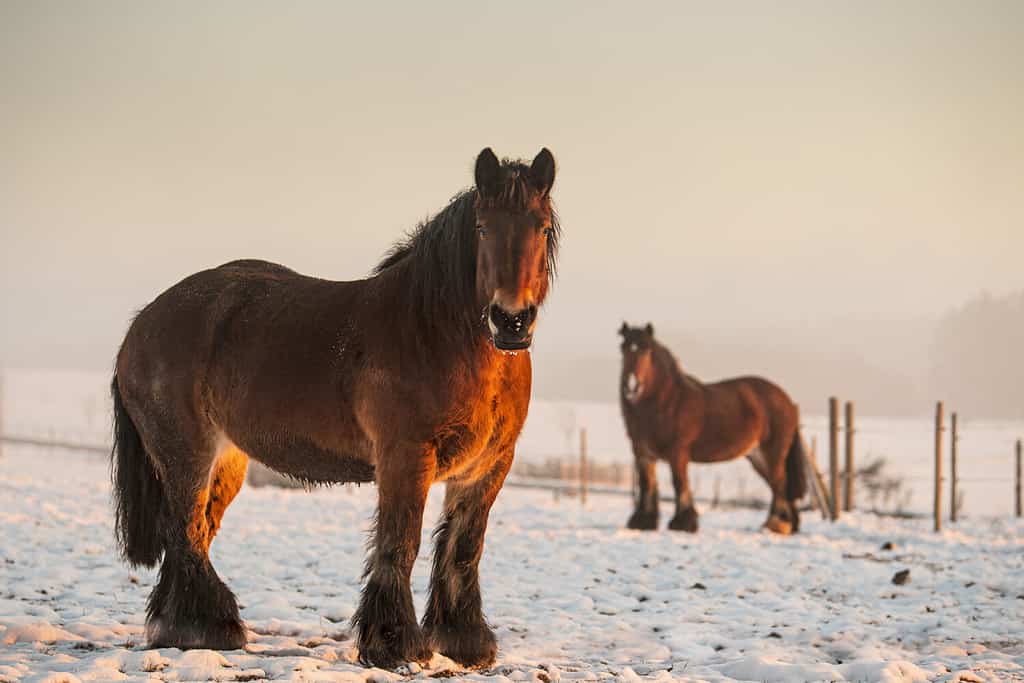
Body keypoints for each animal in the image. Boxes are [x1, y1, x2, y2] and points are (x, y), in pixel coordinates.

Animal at [110, 145, 561, 667]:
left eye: (541, 228)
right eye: (484, 228)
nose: (512, 321)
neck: (437, 334)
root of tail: (140, 324)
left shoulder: (489, 464)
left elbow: (464, 547)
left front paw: (464, 641)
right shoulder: (405, 457)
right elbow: (400, 543)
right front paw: (394, 642)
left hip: (227, 461)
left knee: (194, 531)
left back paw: (177, 625)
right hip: (186, 454)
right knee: (183, 529)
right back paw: (210, 626)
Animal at [614, 323, 806, 536]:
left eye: (646, 350)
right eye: (623, 348)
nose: (632, 386)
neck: (668, 401)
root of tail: (789, 402)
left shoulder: (678, 453)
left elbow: (679, 484)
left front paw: (683, 523)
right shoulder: (643, 453)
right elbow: (646, 484)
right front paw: (643, 522)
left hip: (773, 453)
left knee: (780, 483)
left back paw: (776, 524)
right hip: (757, 457)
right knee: (777, 486)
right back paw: (787, 525)